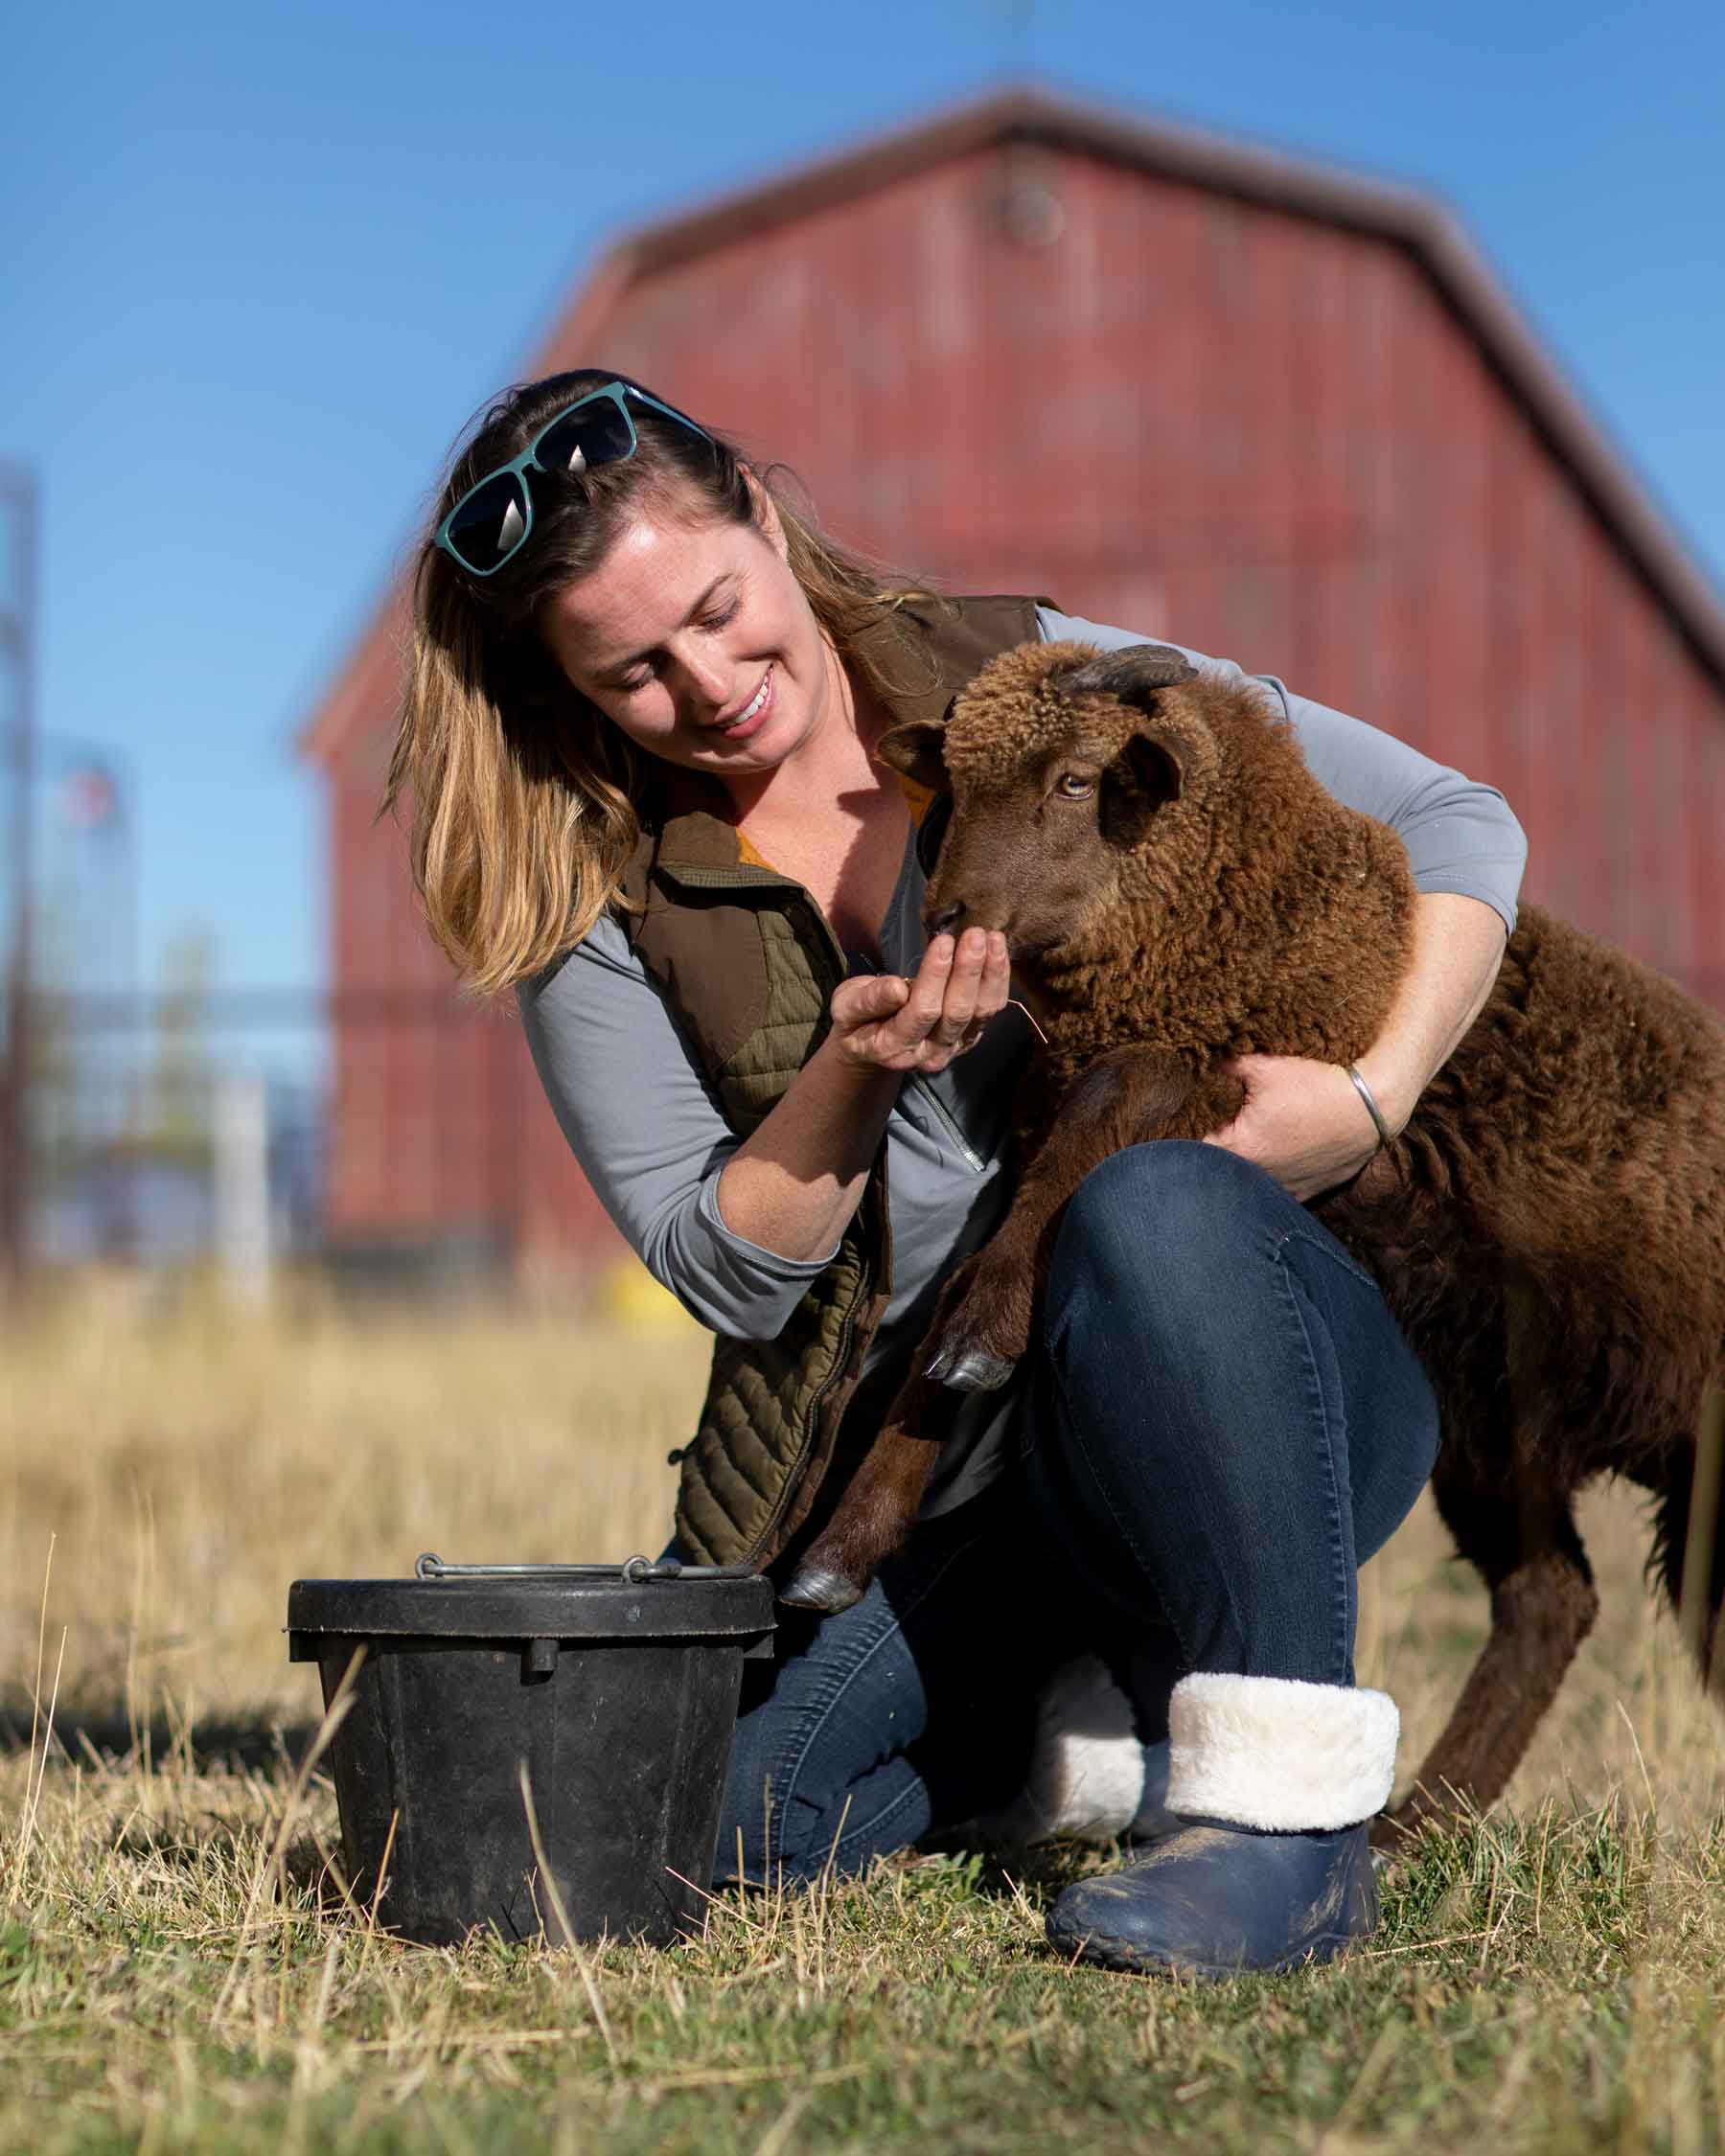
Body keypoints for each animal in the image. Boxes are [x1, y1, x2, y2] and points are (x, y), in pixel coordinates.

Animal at [776, 630, 1725, 1846]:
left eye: (1075, 782)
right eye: (954, 788)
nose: (950, 919)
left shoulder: (1203, 1067)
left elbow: (1084, 1153)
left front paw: (981, 1340)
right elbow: (960, 1300)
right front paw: (838, 1553)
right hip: (1498, 1421)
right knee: (1549, 1597)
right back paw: (1418, 1827)